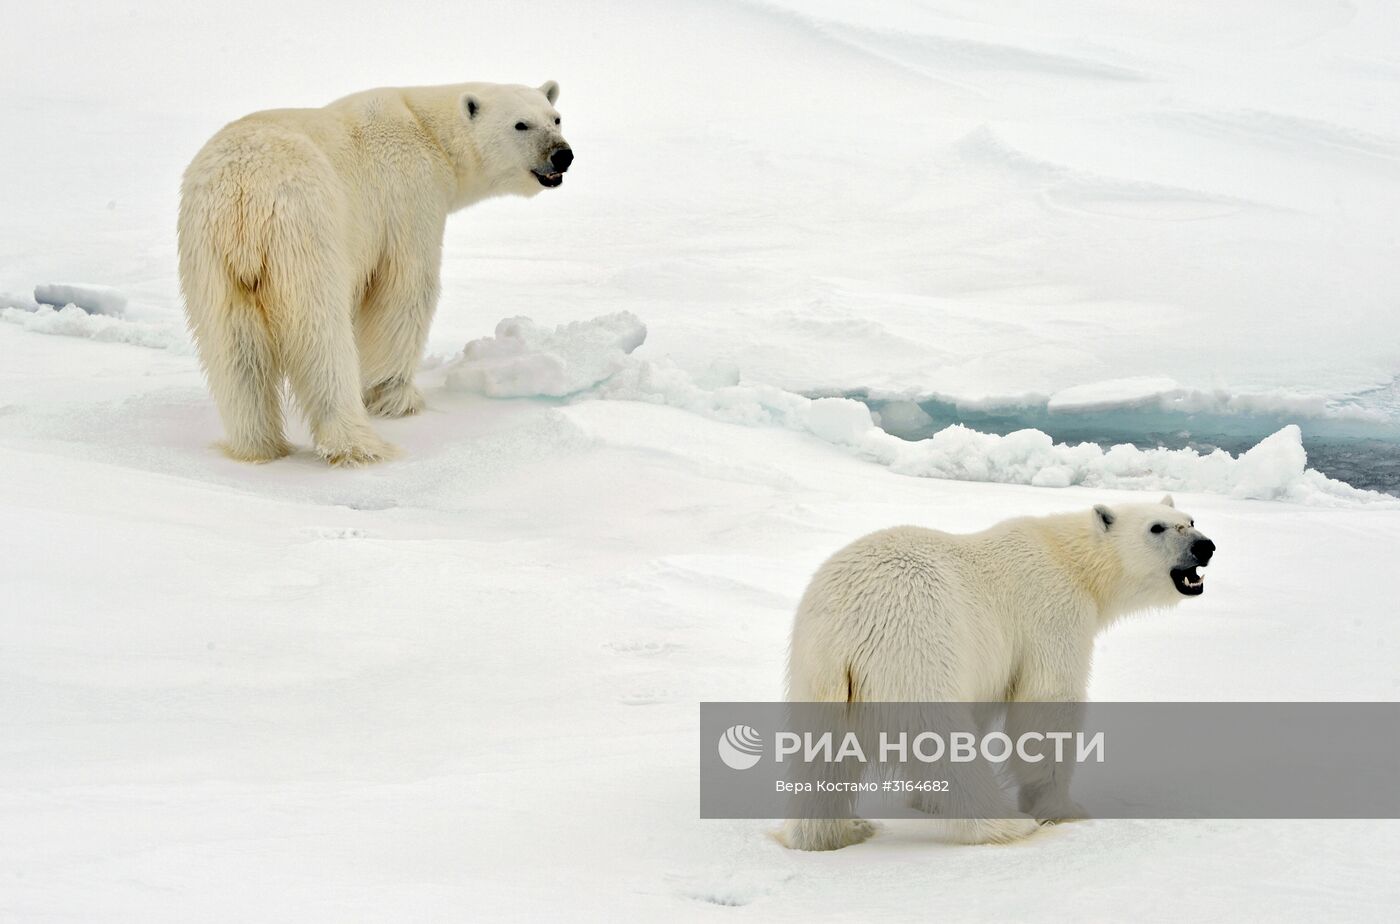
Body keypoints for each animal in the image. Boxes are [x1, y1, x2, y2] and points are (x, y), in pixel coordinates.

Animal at [177, 80, 571, 464]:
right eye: (520, 124)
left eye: (555, 118)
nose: (562, 154)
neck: (428, 131)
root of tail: (244, 191)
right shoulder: (409, 196)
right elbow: (404, 291)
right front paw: (397, 398)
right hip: (307, 230)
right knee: (321, 333)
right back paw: (356, 444)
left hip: (210, 257)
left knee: (234, 348)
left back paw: (258, 447)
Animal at [778, 498, 1215, 851]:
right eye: (1157, 527)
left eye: (1191, 519)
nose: (1205, 546)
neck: (1070, 560)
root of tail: (844, 625)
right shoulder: (1053, 614)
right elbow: (1046, 704)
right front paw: (1061, 808)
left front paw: (926, 801)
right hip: (915, 647)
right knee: (942, 739)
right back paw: (1007, 825)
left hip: (812, 671)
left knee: (820, 756)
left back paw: (835, 833)